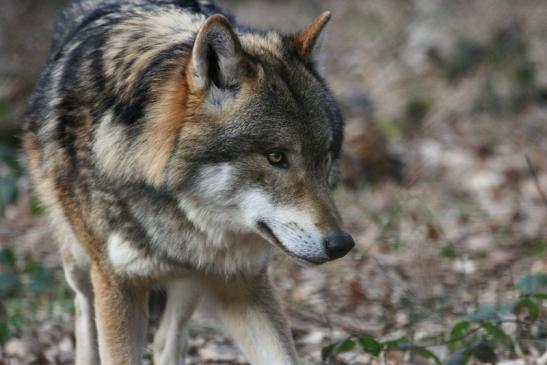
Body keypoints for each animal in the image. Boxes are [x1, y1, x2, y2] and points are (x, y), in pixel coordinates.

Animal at [22, 0, 356, 362]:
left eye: (325, 158)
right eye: (276, 157)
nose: (342, 244)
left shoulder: (244, 283)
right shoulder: (117, 285)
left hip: (193, 281)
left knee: (167, 338)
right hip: (80, 264)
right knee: (84, 312)